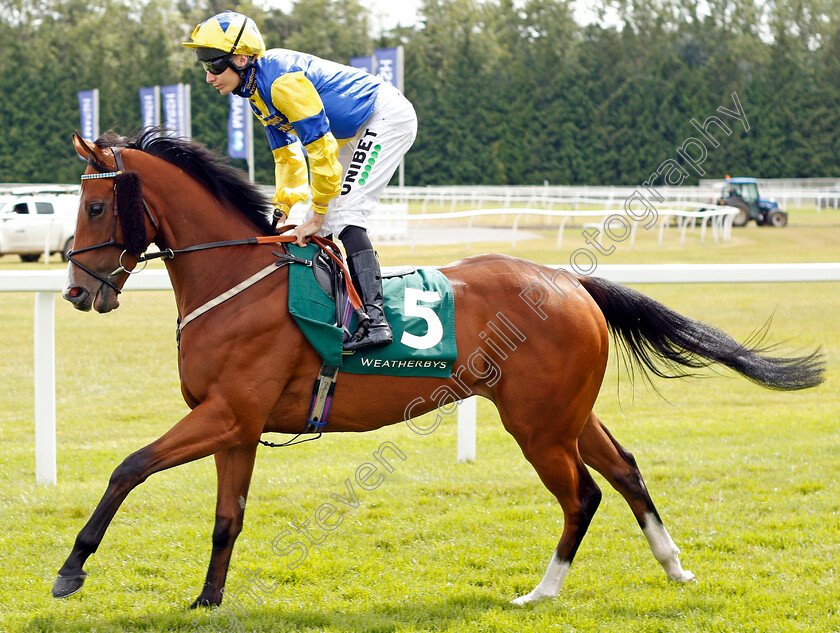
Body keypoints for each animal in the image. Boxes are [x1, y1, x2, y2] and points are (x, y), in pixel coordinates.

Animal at [55, 128, 824, 608]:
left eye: (93, 204)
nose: (77, 293)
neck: (238, 278)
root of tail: (570, 280)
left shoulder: (224, 413)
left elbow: (128, 467)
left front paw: (71, 568)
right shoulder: (237, 425)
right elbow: (226, 519)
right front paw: (208, 599)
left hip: (537, 424)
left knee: (582, 495)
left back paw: (542, 591)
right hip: (569, 413)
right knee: (626, 469)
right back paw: (674, 565)